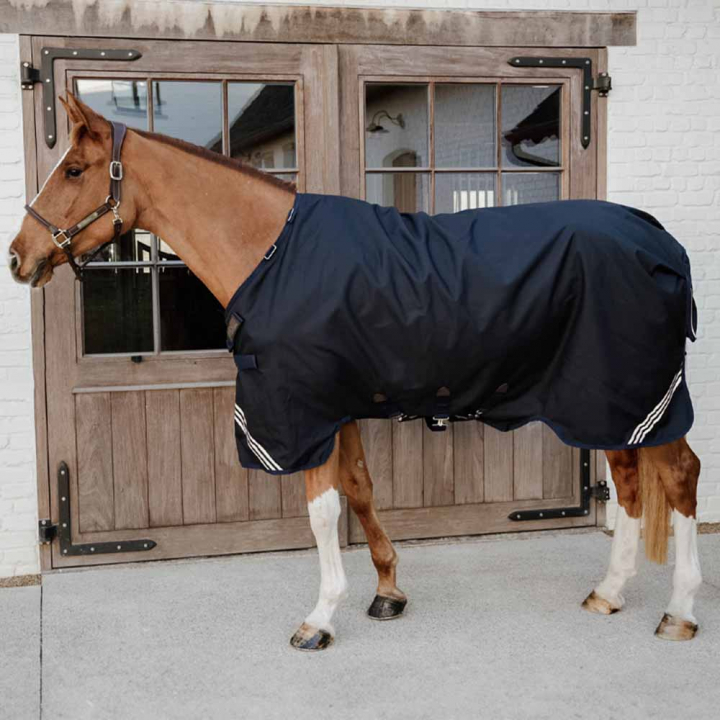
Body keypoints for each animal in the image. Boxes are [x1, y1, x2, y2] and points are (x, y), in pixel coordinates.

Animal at [8, 93, 703, 650]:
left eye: (74, 170)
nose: (18, 257)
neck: (273, 253)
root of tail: (659, 241)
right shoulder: (336, 407)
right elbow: (362, 491)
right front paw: (388, 592)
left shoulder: (300, 412)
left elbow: (320, 512)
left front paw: (319, 619)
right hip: (606, 401)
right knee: (630, 481)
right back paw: (609, 591)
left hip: (635, 394)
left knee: (680, 476)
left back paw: (679, 611)